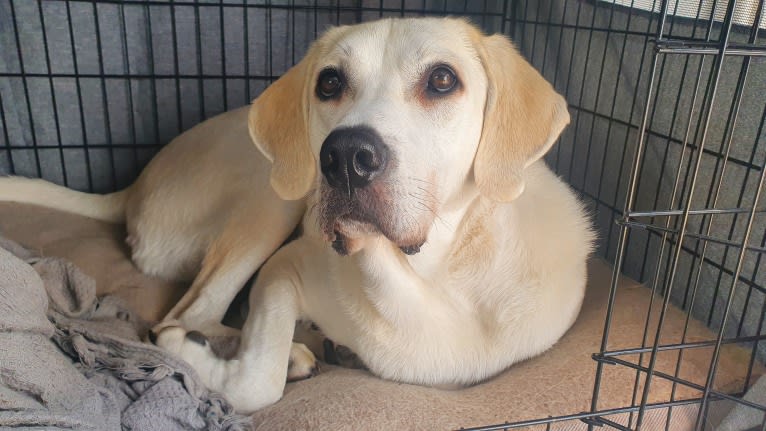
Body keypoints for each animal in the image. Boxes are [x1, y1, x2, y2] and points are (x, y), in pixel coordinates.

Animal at [0, 17, 592, 416]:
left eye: (443, 80)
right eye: (329, 82)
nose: (345, 156)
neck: (425, 283)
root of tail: (134, 185)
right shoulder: (285, 270)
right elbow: (255, 380)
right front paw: (214, 358)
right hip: (273, 195)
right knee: (187, 312)